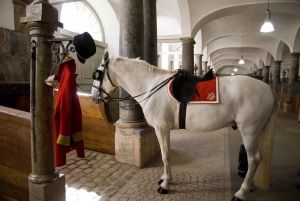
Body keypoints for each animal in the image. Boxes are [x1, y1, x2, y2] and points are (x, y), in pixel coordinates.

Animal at [92, 55, 276, 200]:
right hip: (254, 131)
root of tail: (267, 88)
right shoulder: (164, 129)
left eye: (98, 75)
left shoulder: (162, 128)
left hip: (249, 130)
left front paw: (165, 184)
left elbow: (165, 156)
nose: (94, 98)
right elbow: (166, 155)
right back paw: (248, 186)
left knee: (254, 159)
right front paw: (165, 178)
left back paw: (241, 193)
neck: (150, 86)